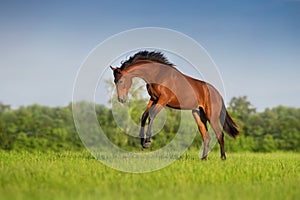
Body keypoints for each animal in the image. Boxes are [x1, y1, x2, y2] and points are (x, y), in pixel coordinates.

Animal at [110, 51, 239, 159]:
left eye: (121, 81)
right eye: (115, 81)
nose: (121, 99)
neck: (158, 74)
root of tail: (218, 94)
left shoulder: (163, 99)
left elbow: (151, 115)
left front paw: (147, 142)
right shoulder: (153, 99)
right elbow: (144, 116)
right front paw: (142, 142)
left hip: (211, 115)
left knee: (220, 135)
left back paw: (223, 158)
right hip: (198, 114)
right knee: (207, 137)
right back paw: (203, 159)